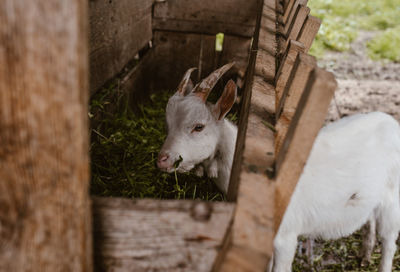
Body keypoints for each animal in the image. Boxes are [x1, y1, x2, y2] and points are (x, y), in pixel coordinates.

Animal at [272, 111, 400, 270]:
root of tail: (389, 119)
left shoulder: (285, 235)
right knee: (370, 220)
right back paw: (365, 257)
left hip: (392, 201)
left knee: (389, 242)